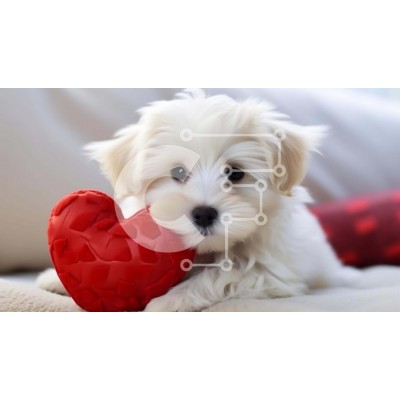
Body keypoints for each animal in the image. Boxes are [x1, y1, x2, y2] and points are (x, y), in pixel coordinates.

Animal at [38, 89, 361, 311]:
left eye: (235, 173)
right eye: (178, 172)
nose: (204, 214)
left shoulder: (271, 272)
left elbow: (221, 277)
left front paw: (167, 301)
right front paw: (54, 279)